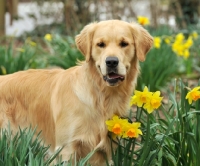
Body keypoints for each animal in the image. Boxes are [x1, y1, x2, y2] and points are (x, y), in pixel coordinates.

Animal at [0, 20, 153, 165]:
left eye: (124, 44)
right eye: (100, 44)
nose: (111, 62)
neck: (100, 96)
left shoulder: (106, 150)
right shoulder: (66, 149)